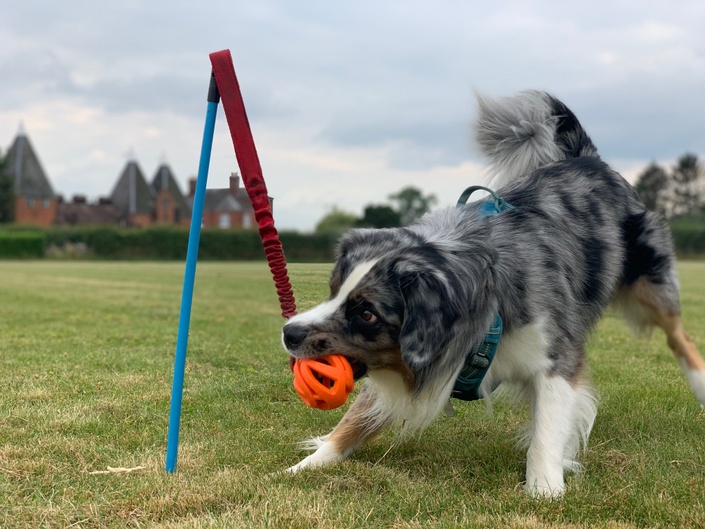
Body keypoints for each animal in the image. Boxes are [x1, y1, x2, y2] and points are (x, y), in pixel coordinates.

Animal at [280, 88, 704, 498]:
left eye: (367, 313)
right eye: (334, 290)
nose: (289, 332)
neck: (486, 293)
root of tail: (587, 158)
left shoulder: (556, 355)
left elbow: (549, 425)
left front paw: (544, 487)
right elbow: (354, 418)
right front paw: (303, 466)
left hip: (650, 283)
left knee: (678, 336)